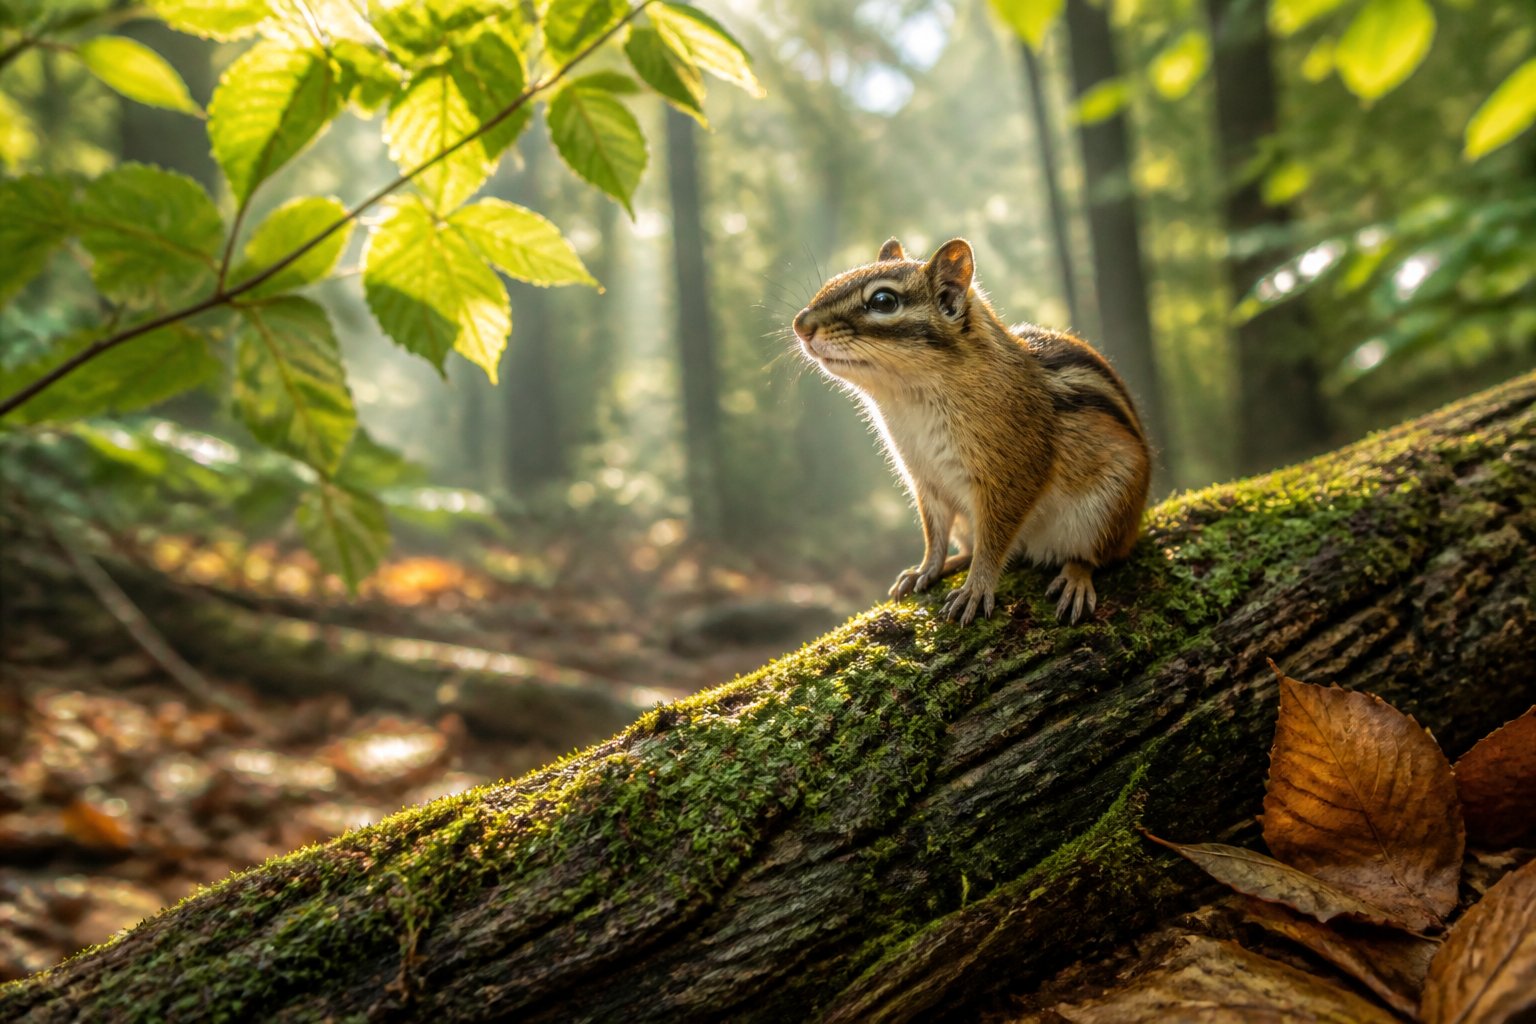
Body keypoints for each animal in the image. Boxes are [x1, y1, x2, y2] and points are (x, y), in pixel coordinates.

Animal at [792, 237, 1151, 626]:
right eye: (836, 278)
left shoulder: (1011, 473)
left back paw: (1075, 578)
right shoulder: (926, 478)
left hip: (1108, 512)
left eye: (883, 301)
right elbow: (933, 532)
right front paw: (926, 569)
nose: (800, 324)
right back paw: (956, 560)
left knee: (1096, 555)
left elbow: (994, 540)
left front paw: (976, 589)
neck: (909, 400)